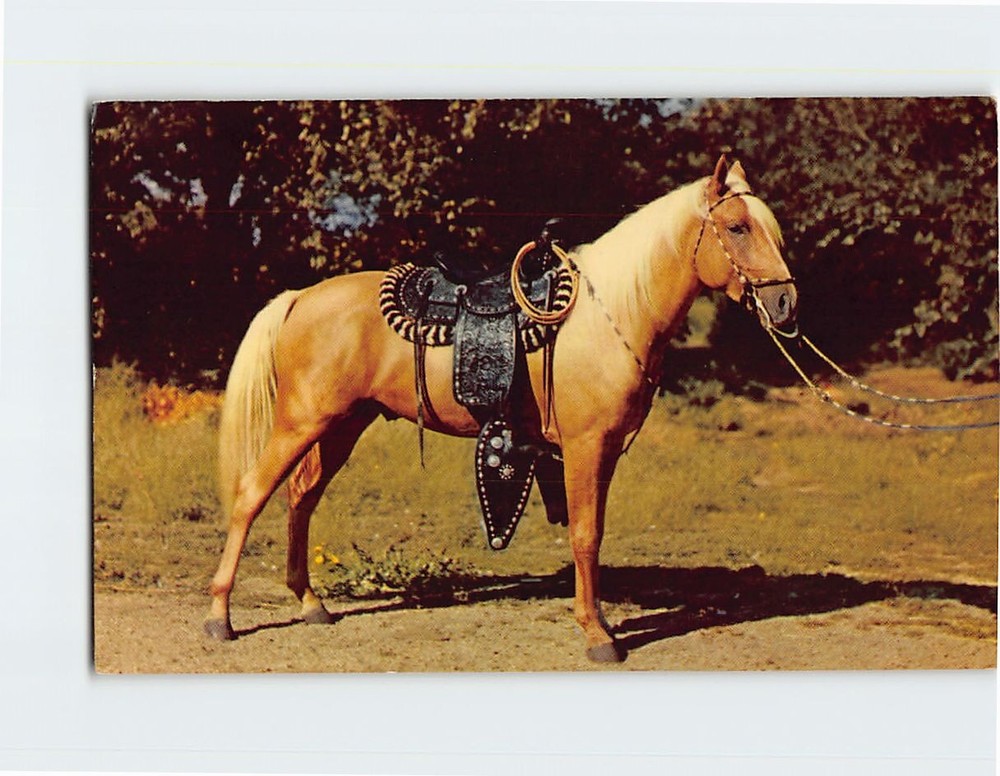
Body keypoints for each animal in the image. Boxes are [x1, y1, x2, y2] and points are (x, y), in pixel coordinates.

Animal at [205, 155, 798, 663]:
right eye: (738, 228)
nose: (786, 302)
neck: (609, 315)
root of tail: (300, 298)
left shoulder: (600, 453)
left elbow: (593, 533)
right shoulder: (585, 448)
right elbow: (586, 535)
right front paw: (598, 635)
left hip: (342, 425)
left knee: (301, 498)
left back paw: (310, 604)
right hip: (302, 422)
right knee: (252, 495)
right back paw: (219, 617)